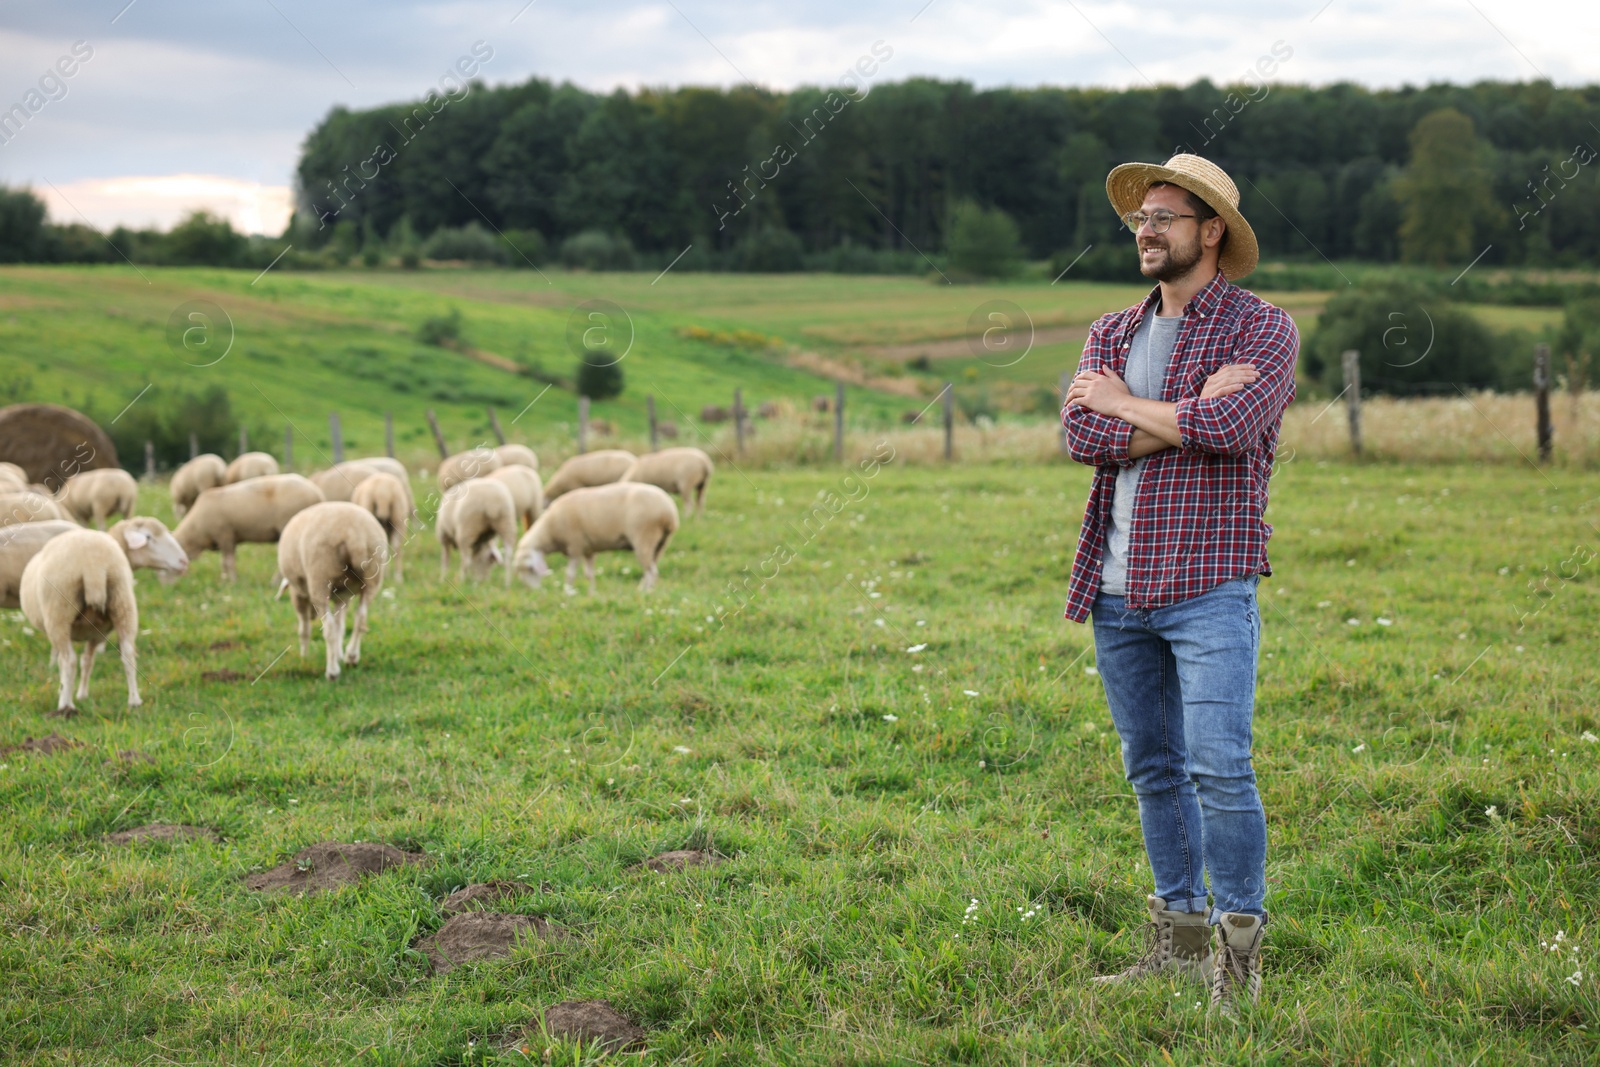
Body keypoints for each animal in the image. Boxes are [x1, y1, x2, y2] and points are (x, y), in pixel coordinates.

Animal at [19, 524, 144, 710]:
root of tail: (93, 564)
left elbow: (68, 662)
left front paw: (67, 692)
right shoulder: (97, 633)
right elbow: (87, 660)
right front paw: (82, 694)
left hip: (59, 611)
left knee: (68, 660)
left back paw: (65, 705)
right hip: (123, 603)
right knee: (128, 654)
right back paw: (134, 701)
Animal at [173, 470, 326, 579]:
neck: (196, 530)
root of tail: (317, 494)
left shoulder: (224, 534)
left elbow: (228, 561)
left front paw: (232, 581)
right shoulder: (229, 538)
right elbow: (225, 561)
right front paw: (225, 578)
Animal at [275, 499, 387, 681]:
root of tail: (354, 534)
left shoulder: (300, 595)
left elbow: (305, 629)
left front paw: (304, 656)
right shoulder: (344, 596)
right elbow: (340, 627)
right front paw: (339, 654)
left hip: (320, 577)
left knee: (328, 628)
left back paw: (332, 671)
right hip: (373, 578)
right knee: (360, 618)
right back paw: (351, 656)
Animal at [512, 483, 675, 598]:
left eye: (529, 569)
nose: (533, 592)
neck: (549, 530)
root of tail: (669, 511)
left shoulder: (575, 546)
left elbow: (570, 574)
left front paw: (567, 592)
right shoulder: (588, 550)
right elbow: (589, 574)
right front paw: (592, 594)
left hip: (644, 536)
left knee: (652, 571)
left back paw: (645, 592)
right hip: (660, 543)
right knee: (650, 569)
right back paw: (644, 589)